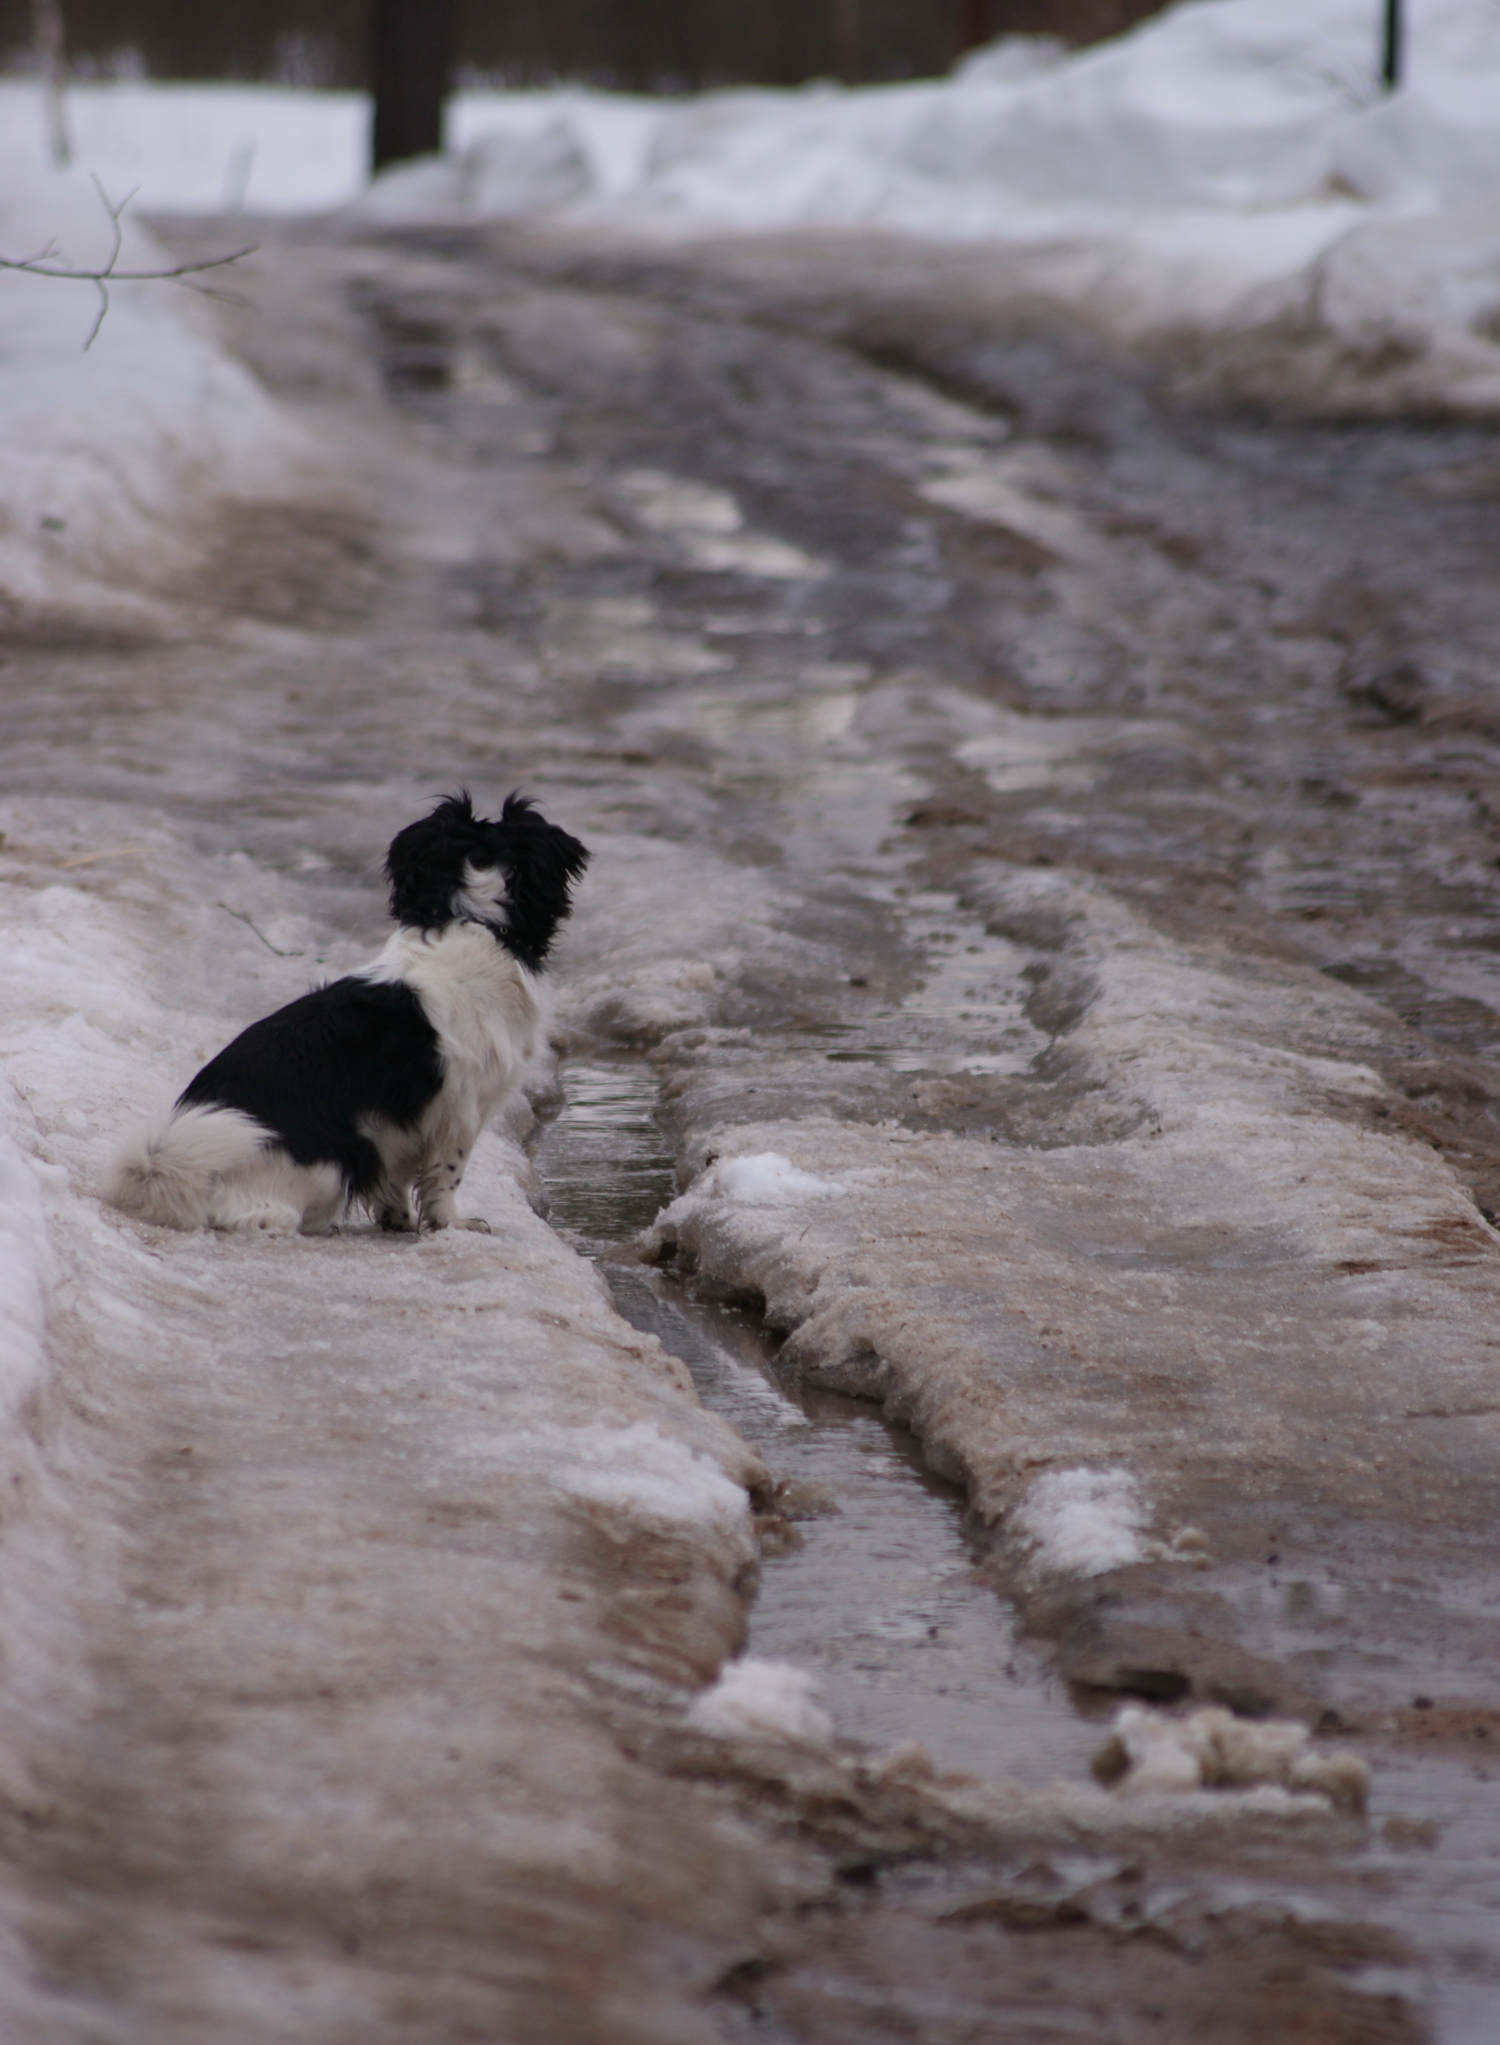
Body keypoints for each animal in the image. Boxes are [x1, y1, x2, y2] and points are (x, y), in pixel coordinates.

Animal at [103, 789, 585, 1235]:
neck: (469, 920)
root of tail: (165, 1173)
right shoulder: (460, 1110)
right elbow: (445, 1176)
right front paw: (453, 1225)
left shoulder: (396, 1125)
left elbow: (396, 1178)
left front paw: (398, 1220)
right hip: (331, 1164)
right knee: (256, 1215)